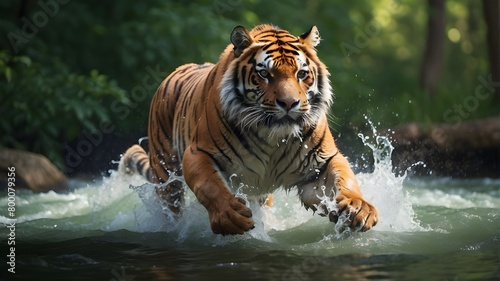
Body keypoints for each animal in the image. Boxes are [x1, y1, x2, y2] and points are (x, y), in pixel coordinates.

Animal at [122, 24, 378, 234]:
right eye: (264, 74)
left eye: (301, 73)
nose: (289, 103)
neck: (274, 137)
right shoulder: (197, 152)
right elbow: (209, 185)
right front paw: (229, 216)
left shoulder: (319, 166)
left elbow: (345, 178)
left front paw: (359, 208)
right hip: (165, 173)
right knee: (171, 207)